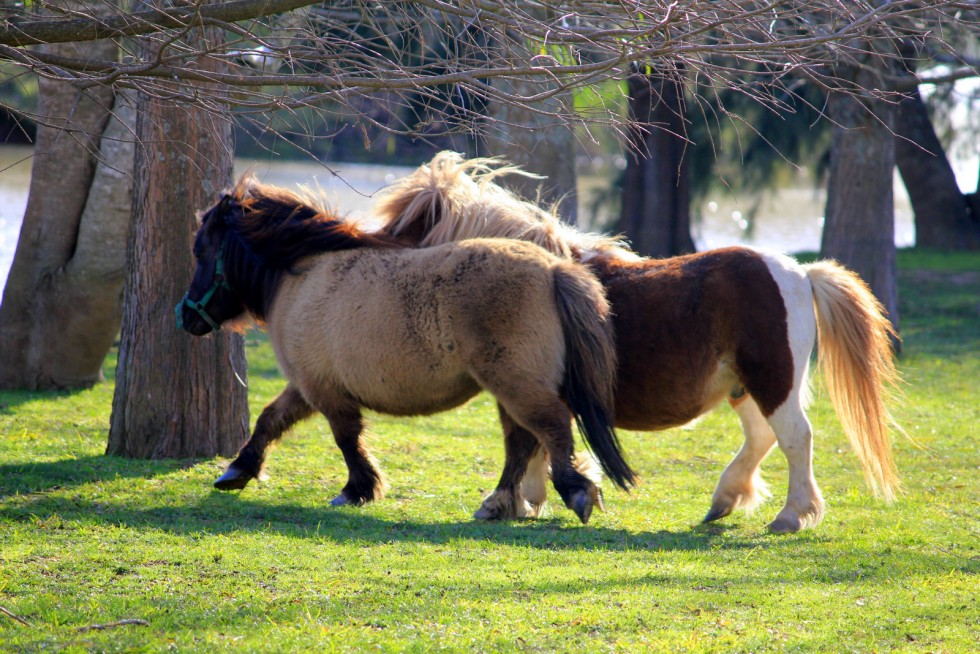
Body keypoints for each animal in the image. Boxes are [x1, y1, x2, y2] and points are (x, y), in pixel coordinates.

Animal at [176, 174, 636, 528]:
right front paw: (238, 470)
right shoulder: (309, 386)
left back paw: (574, 492)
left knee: (551, 428)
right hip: (512, 387)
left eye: (200, 251)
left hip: (517, 384)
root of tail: (555, 268)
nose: (186, 316)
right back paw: (499, 503)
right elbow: (271, 420)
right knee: (522, 442)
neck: (302, 274)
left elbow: (345, 438)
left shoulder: (323, 390)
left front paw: (358, 490)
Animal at [374, 152, 904, 532]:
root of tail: (800, 272)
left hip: (773, 380)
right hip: (745, 386)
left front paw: (510, 502)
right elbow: (538, 441)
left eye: (407, 228)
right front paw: (536, 499)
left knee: (795, 437)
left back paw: (791, 516)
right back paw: (724, 502)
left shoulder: (519, 383)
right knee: (762, 437)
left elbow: (524, 440)